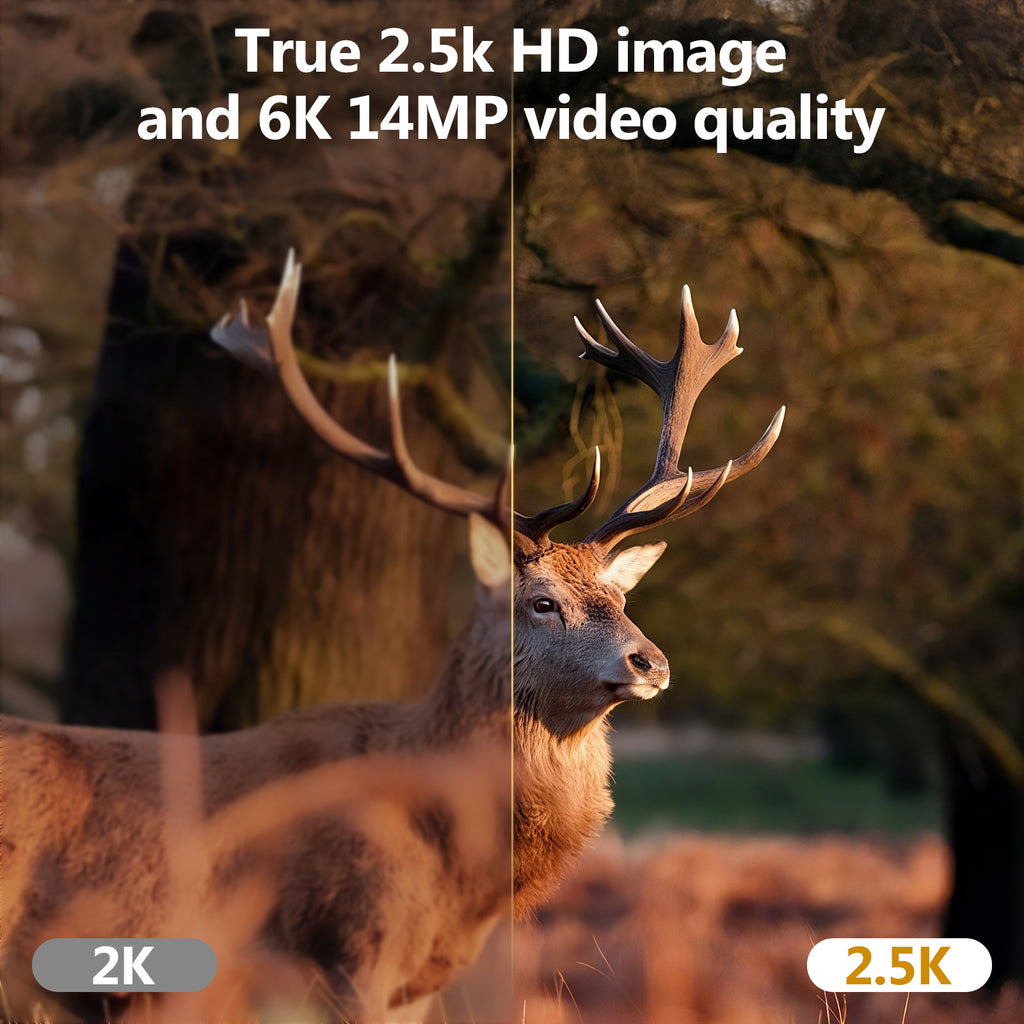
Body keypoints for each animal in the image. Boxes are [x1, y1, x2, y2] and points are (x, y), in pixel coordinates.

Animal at [0, 250, 783, 1023]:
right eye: (542, 603)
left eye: (620, 596)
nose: (650, 662)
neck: (456, 871)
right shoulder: (351, 949)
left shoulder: (419, 981)